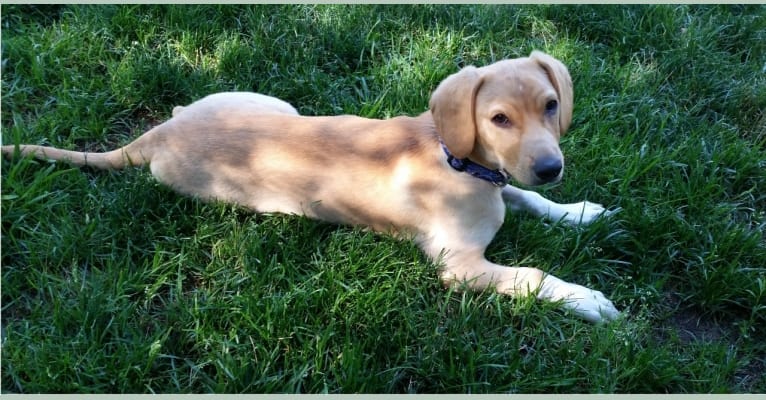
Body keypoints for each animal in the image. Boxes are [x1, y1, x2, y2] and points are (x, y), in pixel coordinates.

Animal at [0, 51, 620, 324]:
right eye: (498, 119)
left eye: (550, 105)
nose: (551, 167)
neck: (461, 163)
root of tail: (159, 133)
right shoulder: (460, 266)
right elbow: (532, 275)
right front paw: (588, 300)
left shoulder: (506, 187)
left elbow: (531, 199)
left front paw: (582, 212)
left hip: (272, 104)